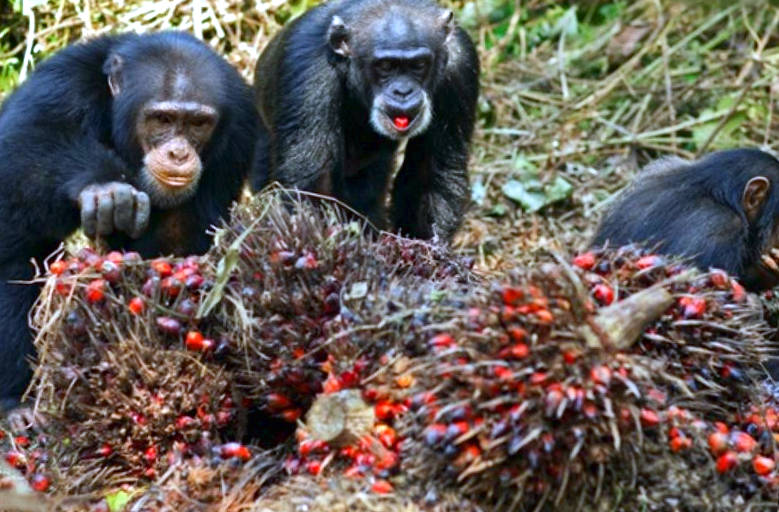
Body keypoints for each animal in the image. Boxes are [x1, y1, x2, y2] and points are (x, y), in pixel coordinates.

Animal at [0, 30, 258, 418]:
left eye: (198, 124)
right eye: (162, 120)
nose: (178, 153)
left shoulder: (239, 132)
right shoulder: (59, 85)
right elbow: (21, 148)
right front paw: (105, 186)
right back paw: (17, 406)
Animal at [250, 0, 482, 242]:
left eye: (418, 64)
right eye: (386, 66)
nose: (403, 91)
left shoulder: (460, 66)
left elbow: (430, 172)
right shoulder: (308, 72)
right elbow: (312, 186)